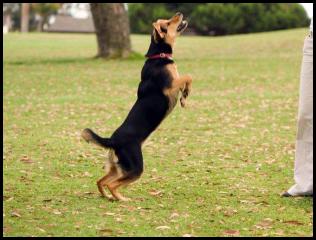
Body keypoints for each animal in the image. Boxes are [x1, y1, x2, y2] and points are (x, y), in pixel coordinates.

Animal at [81, 12, 191, 201]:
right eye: (167, 24)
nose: (179, 14)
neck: (158, 56)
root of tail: (113, 140)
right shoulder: (170, 86)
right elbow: (188, 77)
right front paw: (186, 94)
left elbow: (186, 79)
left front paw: (184, 98)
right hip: (135, 167)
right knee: (112, 184)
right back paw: (122, 199)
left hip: (118, 167)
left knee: (100, 181)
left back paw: (108, 197)